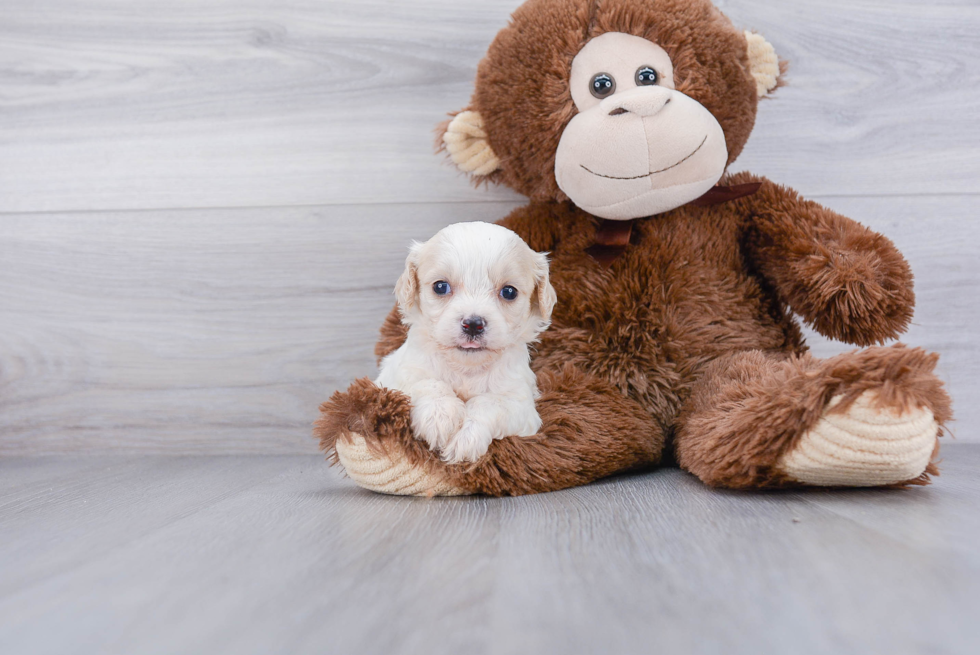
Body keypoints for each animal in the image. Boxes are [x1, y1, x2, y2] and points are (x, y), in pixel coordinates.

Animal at [378, 223, 560, 464]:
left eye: (509, 291)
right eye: (440, 287)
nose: (473, 324)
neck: (466, 368)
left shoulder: (520, 404)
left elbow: (488, 404)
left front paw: (466, 441)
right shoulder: (402, 377)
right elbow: (430, 384)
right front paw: (439, 418)